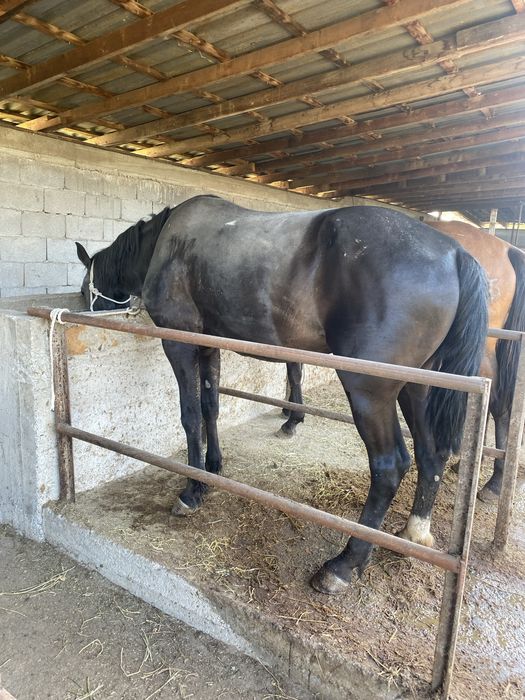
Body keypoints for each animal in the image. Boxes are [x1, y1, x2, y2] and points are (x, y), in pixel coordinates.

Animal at [76, 195, 488, 595]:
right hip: (417, 388)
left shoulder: (179, 343)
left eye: (84, 289)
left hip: (370, 393)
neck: (168, 243)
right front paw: (213, 468)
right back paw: (414, 533)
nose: (87, 310)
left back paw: (343, 565)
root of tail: (454, 253)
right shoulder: (209, 346)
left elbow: (190, 416)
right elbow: (210, 407)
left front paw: (192, 490)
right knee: (431, 454)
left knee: (390, 466)